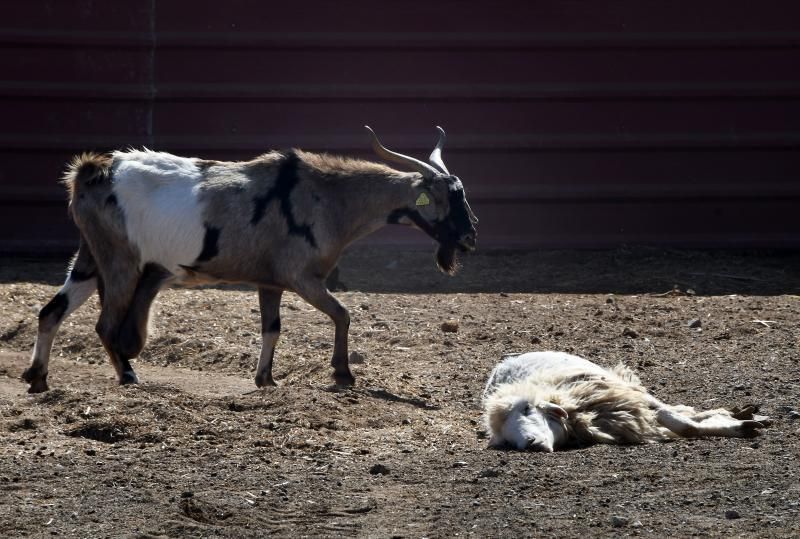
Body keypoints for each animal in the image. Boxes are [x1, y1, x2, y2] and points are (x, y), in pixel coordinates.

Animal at [21, 129, 478, 394]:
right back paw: (128, 376)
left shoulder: (269, 281)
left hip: (89, 256)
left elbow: (272, 328)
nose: (470, 237)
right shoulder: (302, 277)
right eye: (446, 198)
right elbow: (343, 314)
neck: (328, 196)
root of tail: (92, 171)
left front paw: (265, 378)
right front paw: (343, 374)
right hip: (120, 261)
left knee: (51, 311)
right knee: (105, 324)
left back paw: (38, 378)